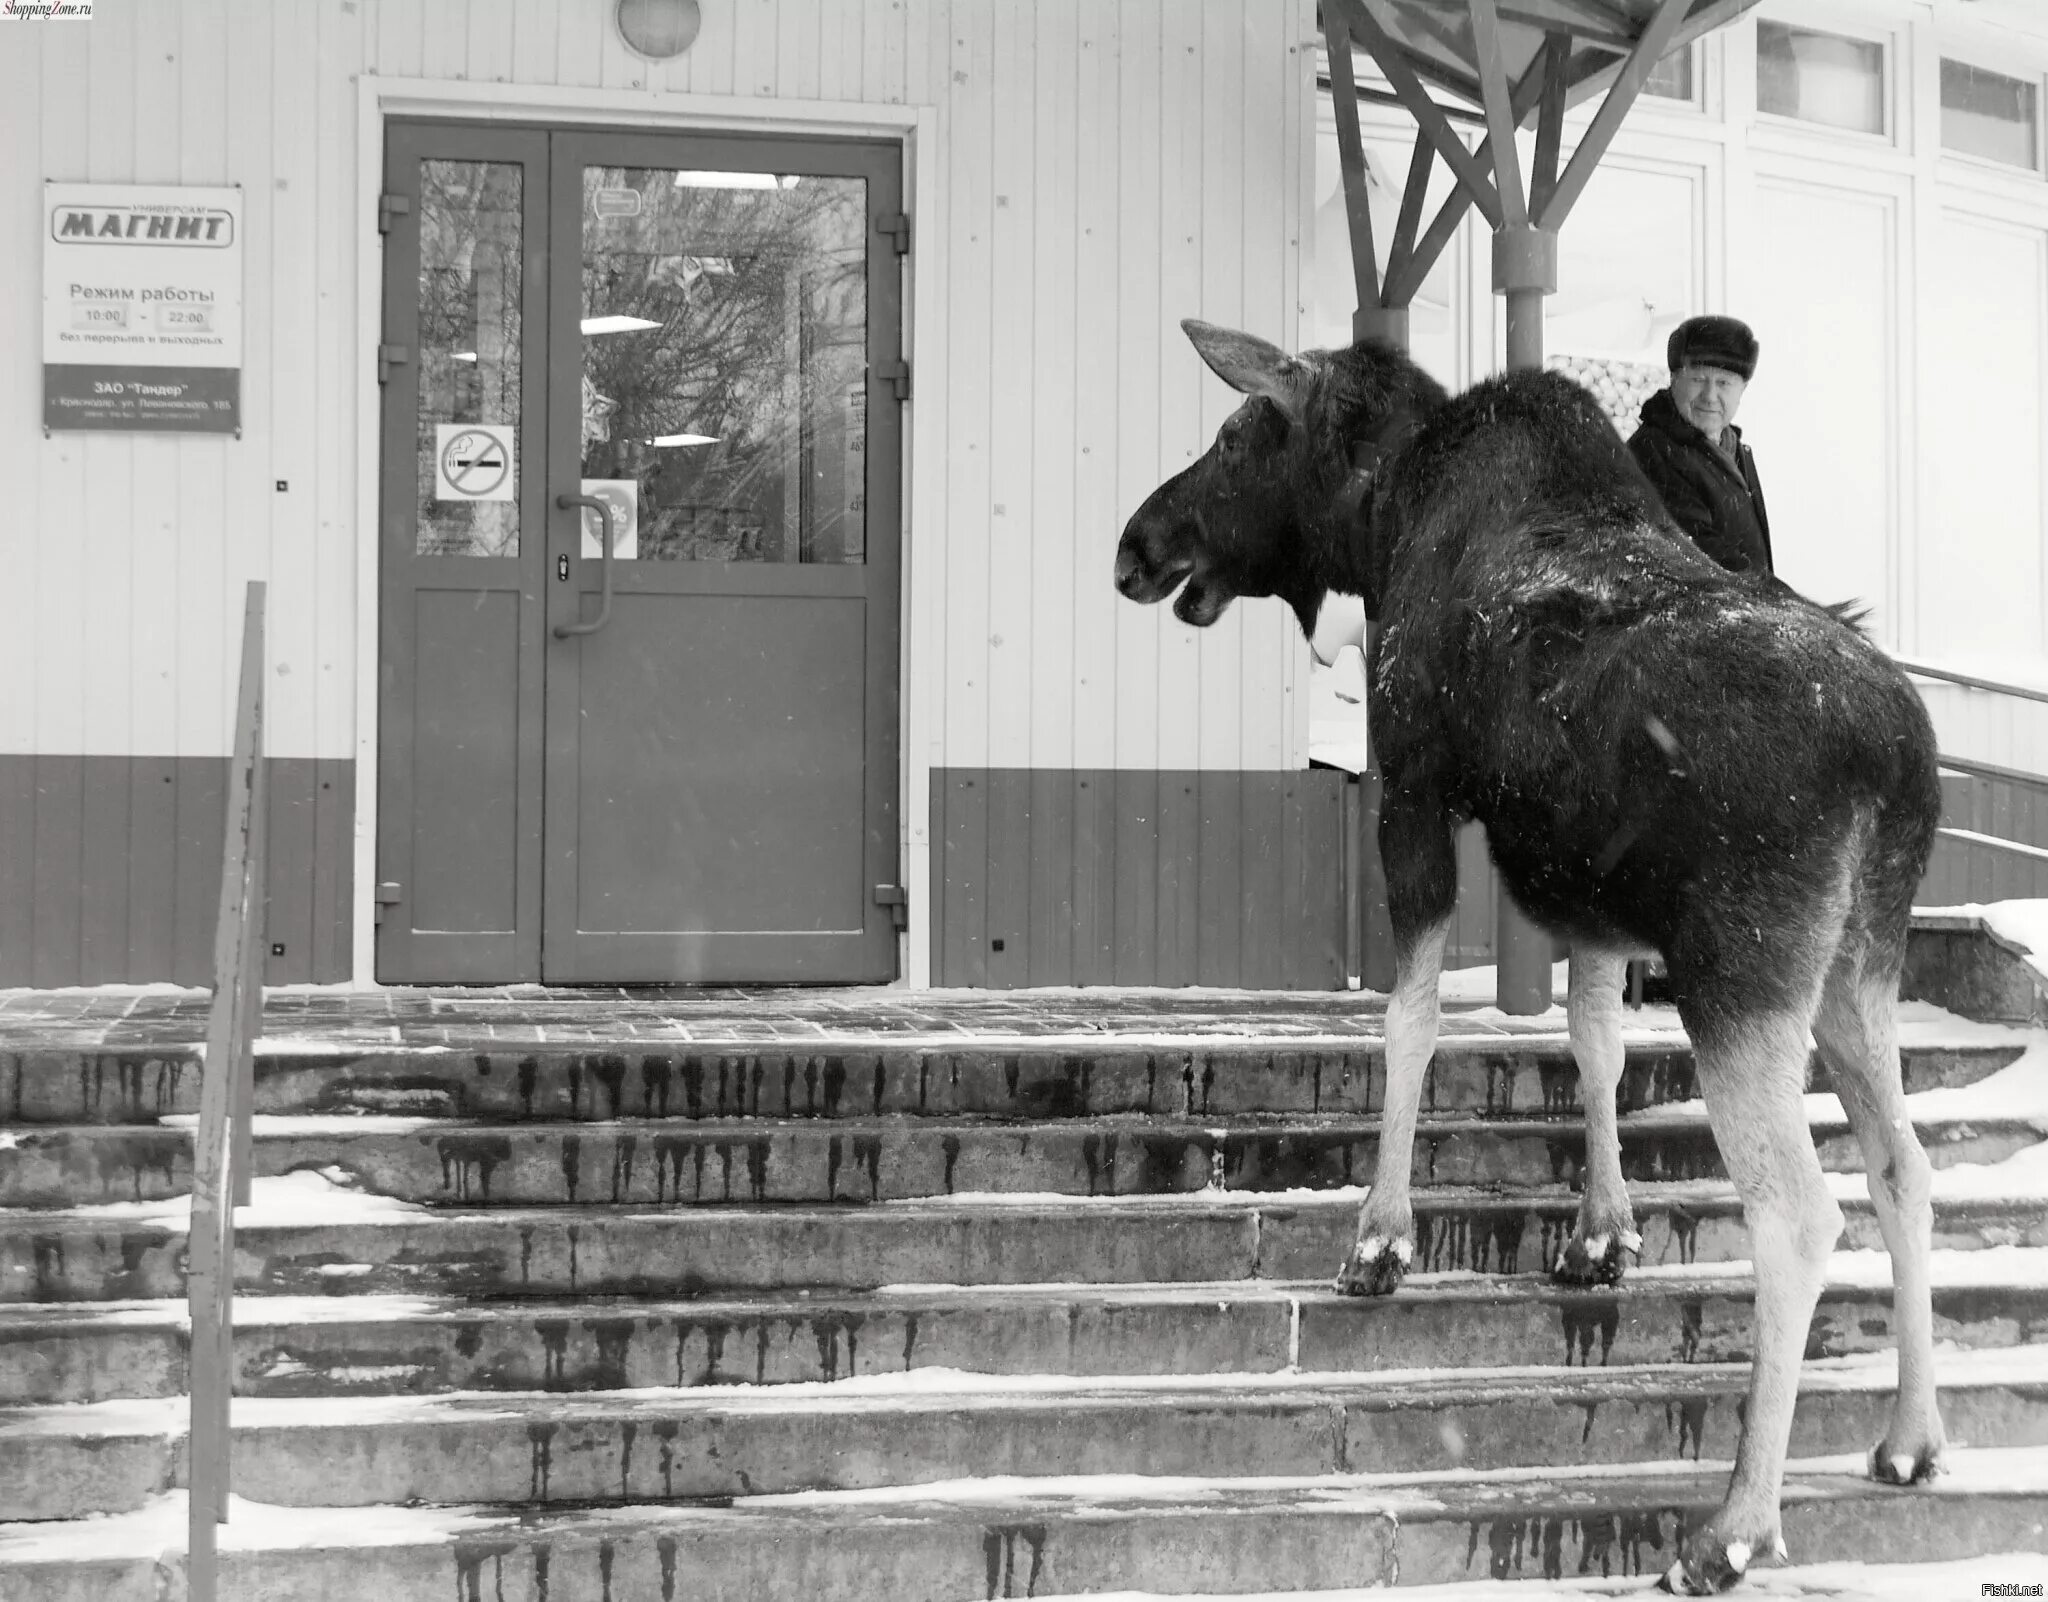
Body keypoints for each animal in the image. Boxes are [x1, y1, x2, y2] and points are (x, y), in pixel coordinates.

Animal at [1114, 319, 1941, 1597]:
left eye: (1236, 433)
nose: (1135, 544)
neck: (1382, 520)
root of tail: (1897, 763)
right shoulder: (1589, 894)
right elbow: (1592, 1044)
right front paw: (1599, 1236)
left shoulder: (1409, 789)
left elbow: (1407, 1023)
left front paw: (1379, 1241)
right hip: (1859, 965)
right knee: (1905, 1168)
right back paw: (1909, 1440)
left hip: (1742, 970)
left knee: (1801, 1214)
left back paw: (1732, 1528)